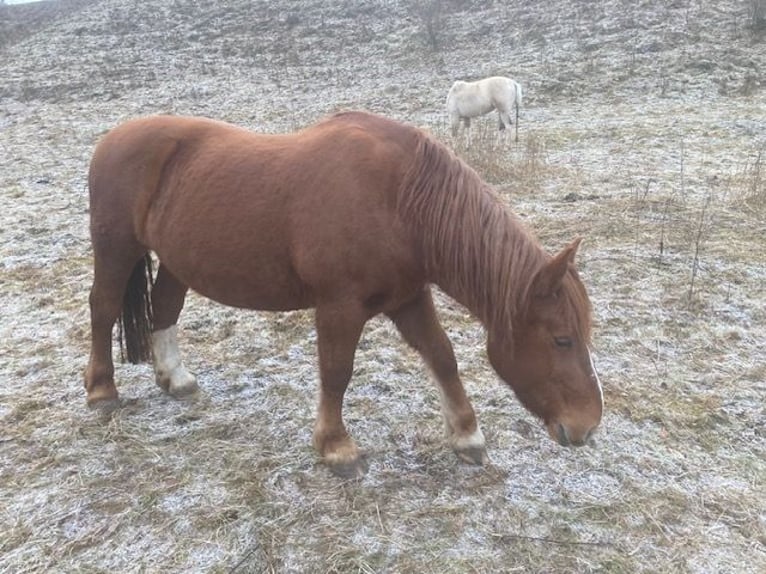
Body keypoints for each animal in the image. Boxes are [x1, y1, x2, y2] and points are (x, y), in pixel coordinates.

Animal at [84, 111, 602, 478]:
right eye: (562, 340)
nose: (587, 426)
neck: (400, 200)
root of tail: (112, 139)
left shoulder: (408, 298)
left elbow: (442, 356)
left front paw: (467, 437)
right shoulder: (339, 307)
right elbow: (337, 372)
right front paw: (337, 448)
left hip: (176, 261)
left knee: (164, 310)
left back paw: (176, 379)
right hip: (116, 250)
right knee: (103, 309)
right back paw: (102, 391)